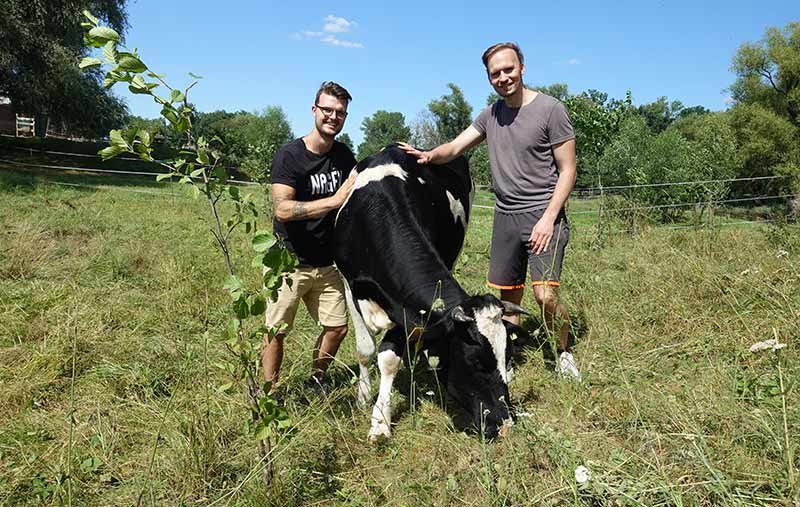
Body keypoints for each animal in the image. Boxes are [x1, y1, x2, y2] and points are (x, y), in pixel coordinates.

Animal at [332, 145, 524, 442]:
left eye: (508, 355)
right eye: (475, 362)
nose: (506, 425)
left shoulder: (409, 307)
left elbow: (390, 356)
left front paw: (380, 420)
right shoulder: (349, 283)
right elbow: (367, 350)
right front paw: (367, 404)